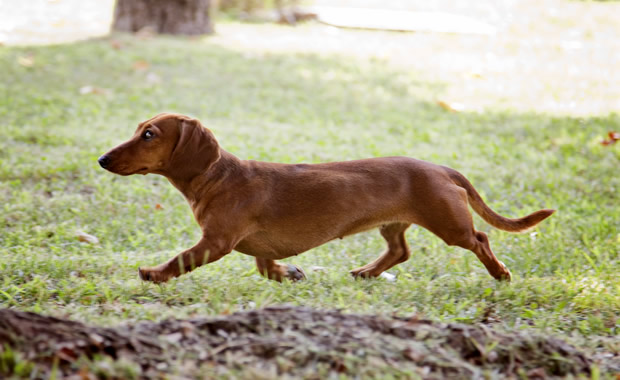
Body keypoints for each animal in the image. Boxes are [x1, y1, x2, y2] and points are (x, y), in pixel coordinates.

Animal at [99, 114, 556, 284]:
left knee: (480, 239)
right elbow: (267, 266)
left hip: (449, 224)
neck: (218, 176)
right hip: (393, 225)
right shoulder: (254, 245)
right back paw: (367, 272)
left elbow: (182, 259)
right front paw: (290, 274)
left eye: (149, 134)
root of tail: (441, 169)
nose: (102, 159)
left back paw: (500, 273)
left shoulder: (216, 242)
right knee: (400, 251)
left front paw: (154, 273)